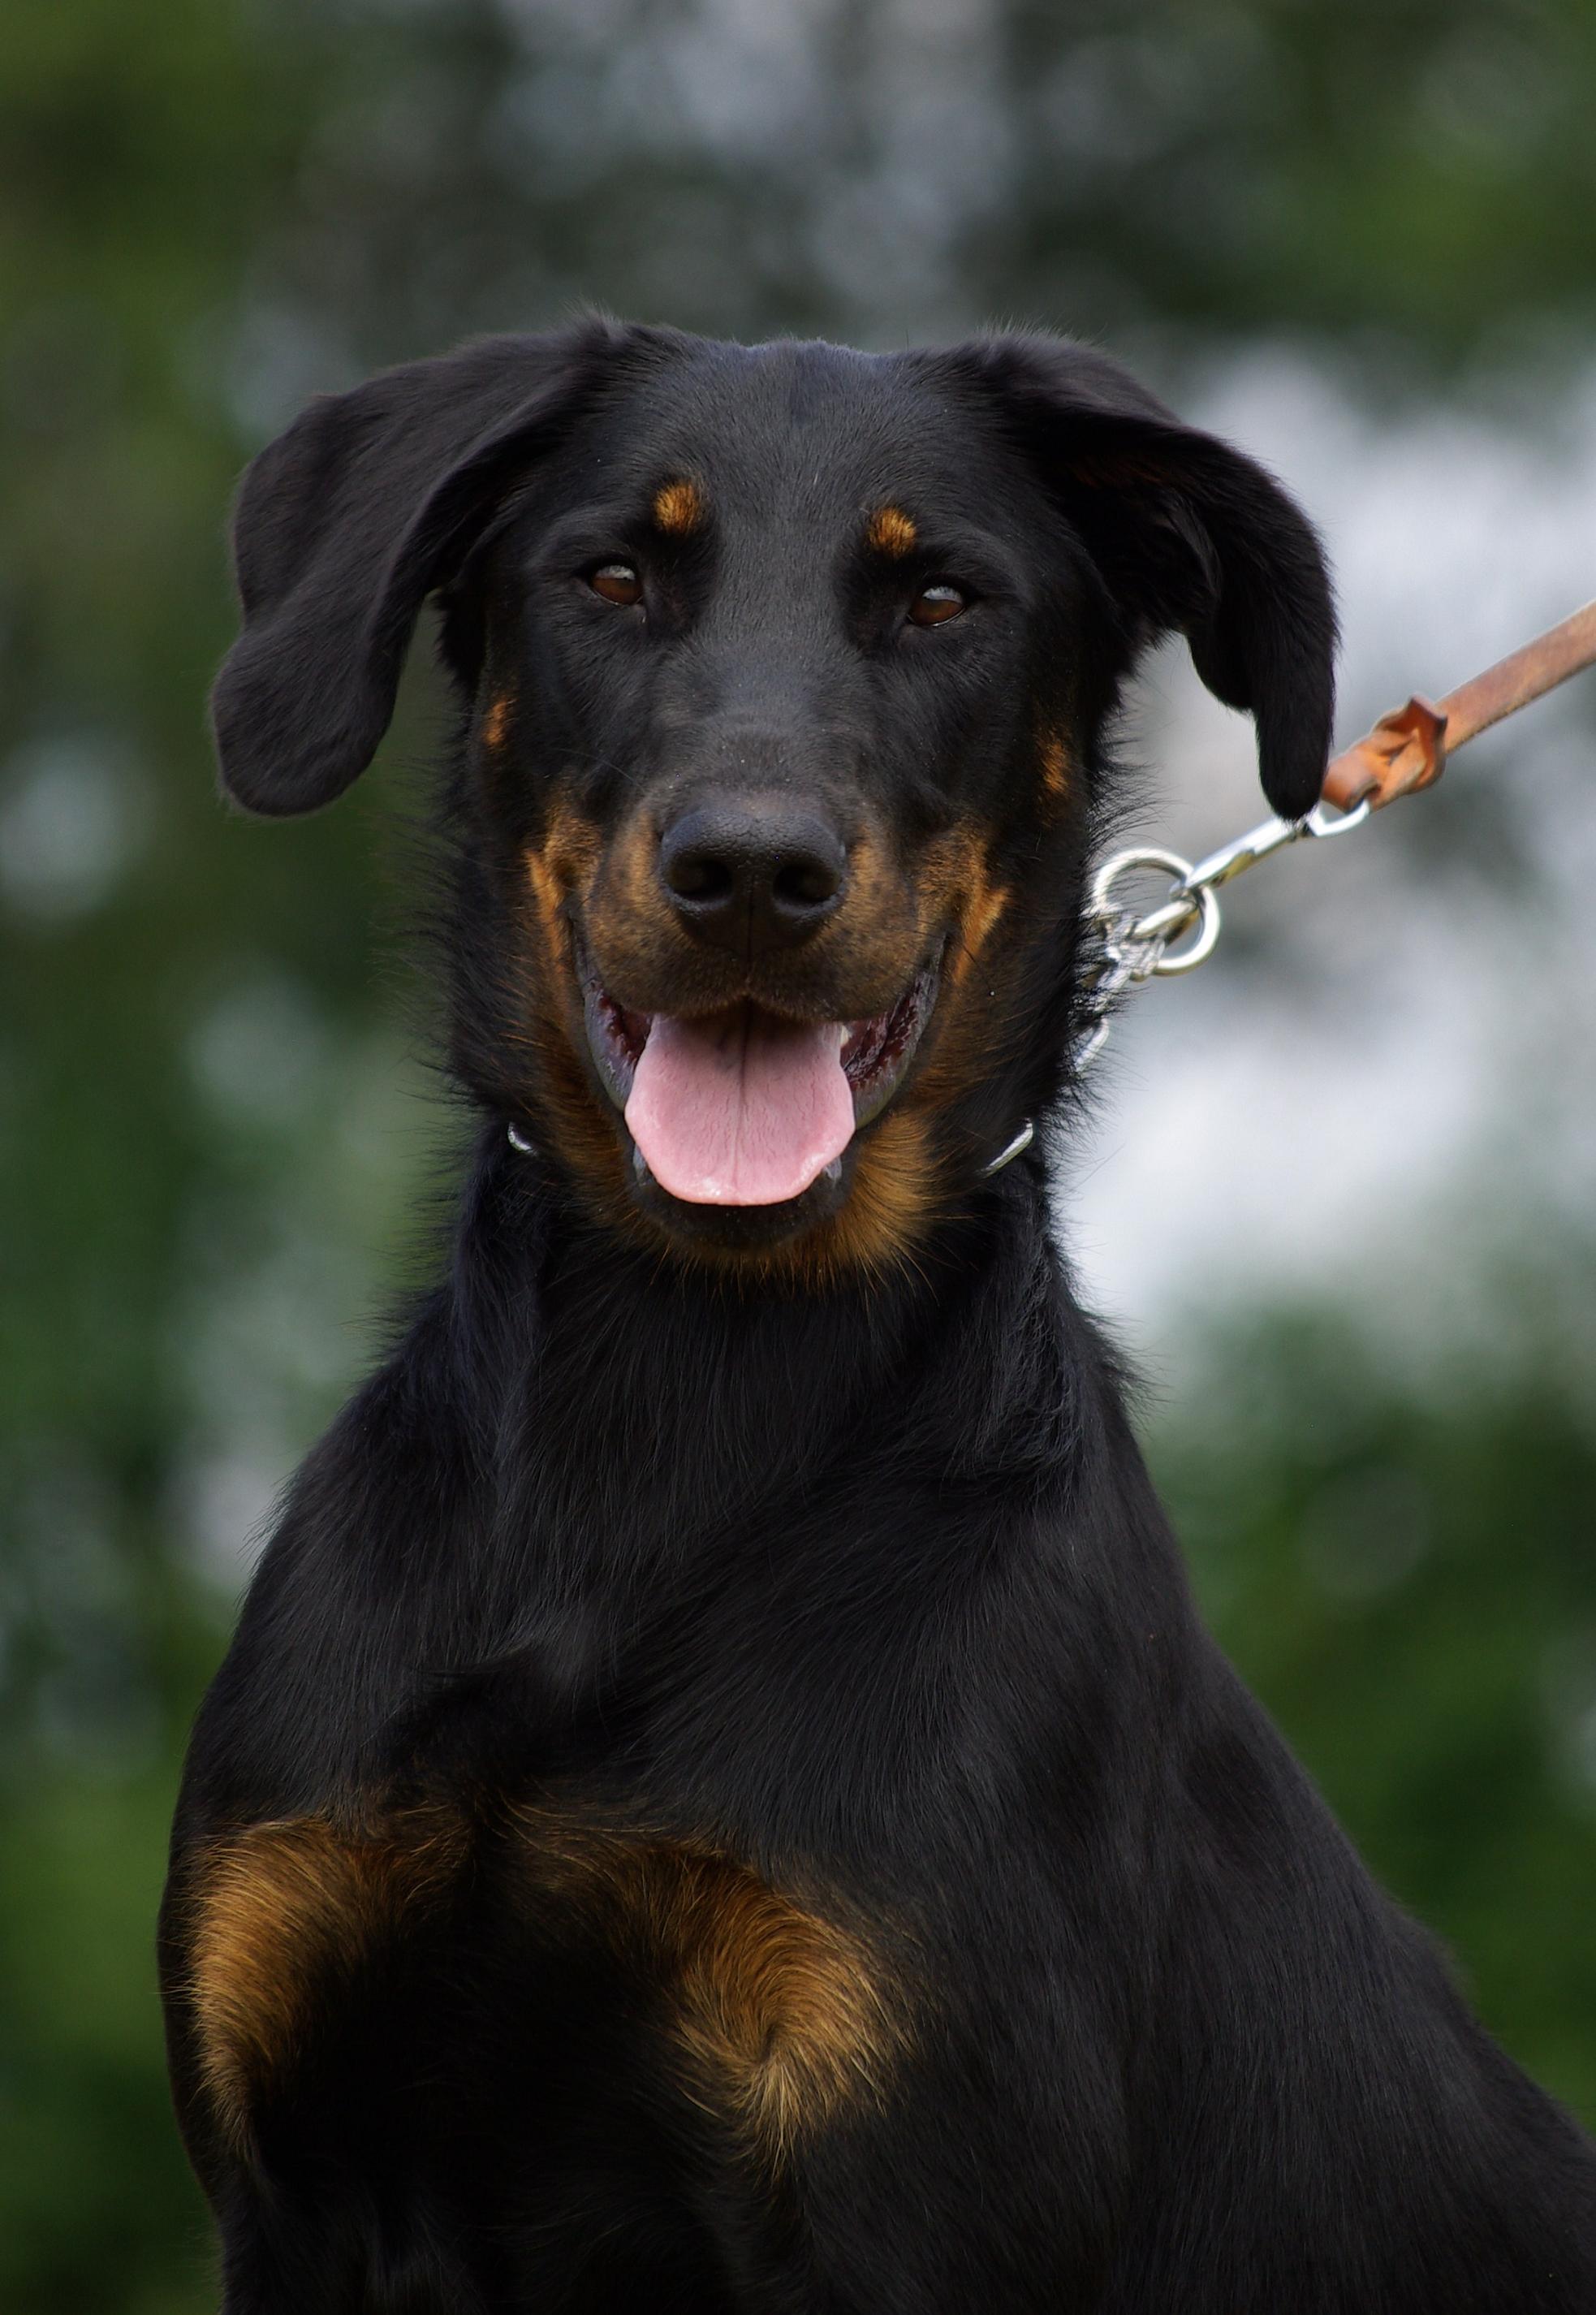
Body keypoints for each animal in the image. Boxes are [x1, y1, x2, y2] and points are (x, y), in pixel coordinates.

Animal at [158, 322, 1591, 2296]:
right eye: (611, 577)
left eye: (941, 599)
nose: (753, 876)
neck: (684, 1380)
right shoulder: (297, 2180)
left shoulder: (900, 2185)